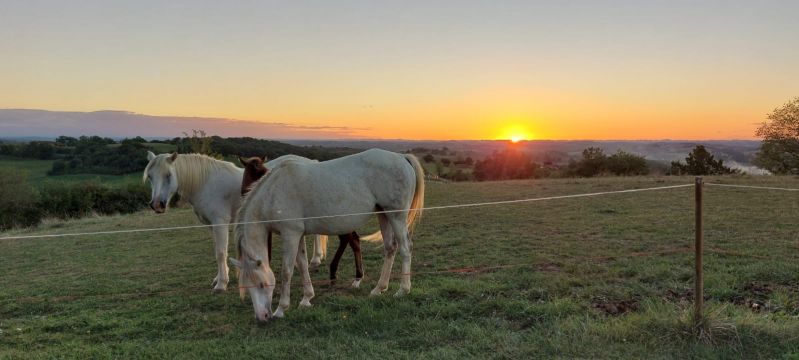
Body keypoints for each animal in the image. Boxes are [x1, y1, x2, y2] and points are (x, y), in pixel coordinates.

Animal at [143, 152, 328, 292]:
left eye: (168, 175)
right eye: (150, 176)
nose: (157, 205)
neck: (205, 183)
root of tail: (312, 162)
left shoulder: (220, 223)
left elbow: (220, 252)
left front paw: (221, 284)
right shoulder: (211, 225)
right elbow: (218, 250)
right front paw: (219, 277)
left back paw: (315, 259)